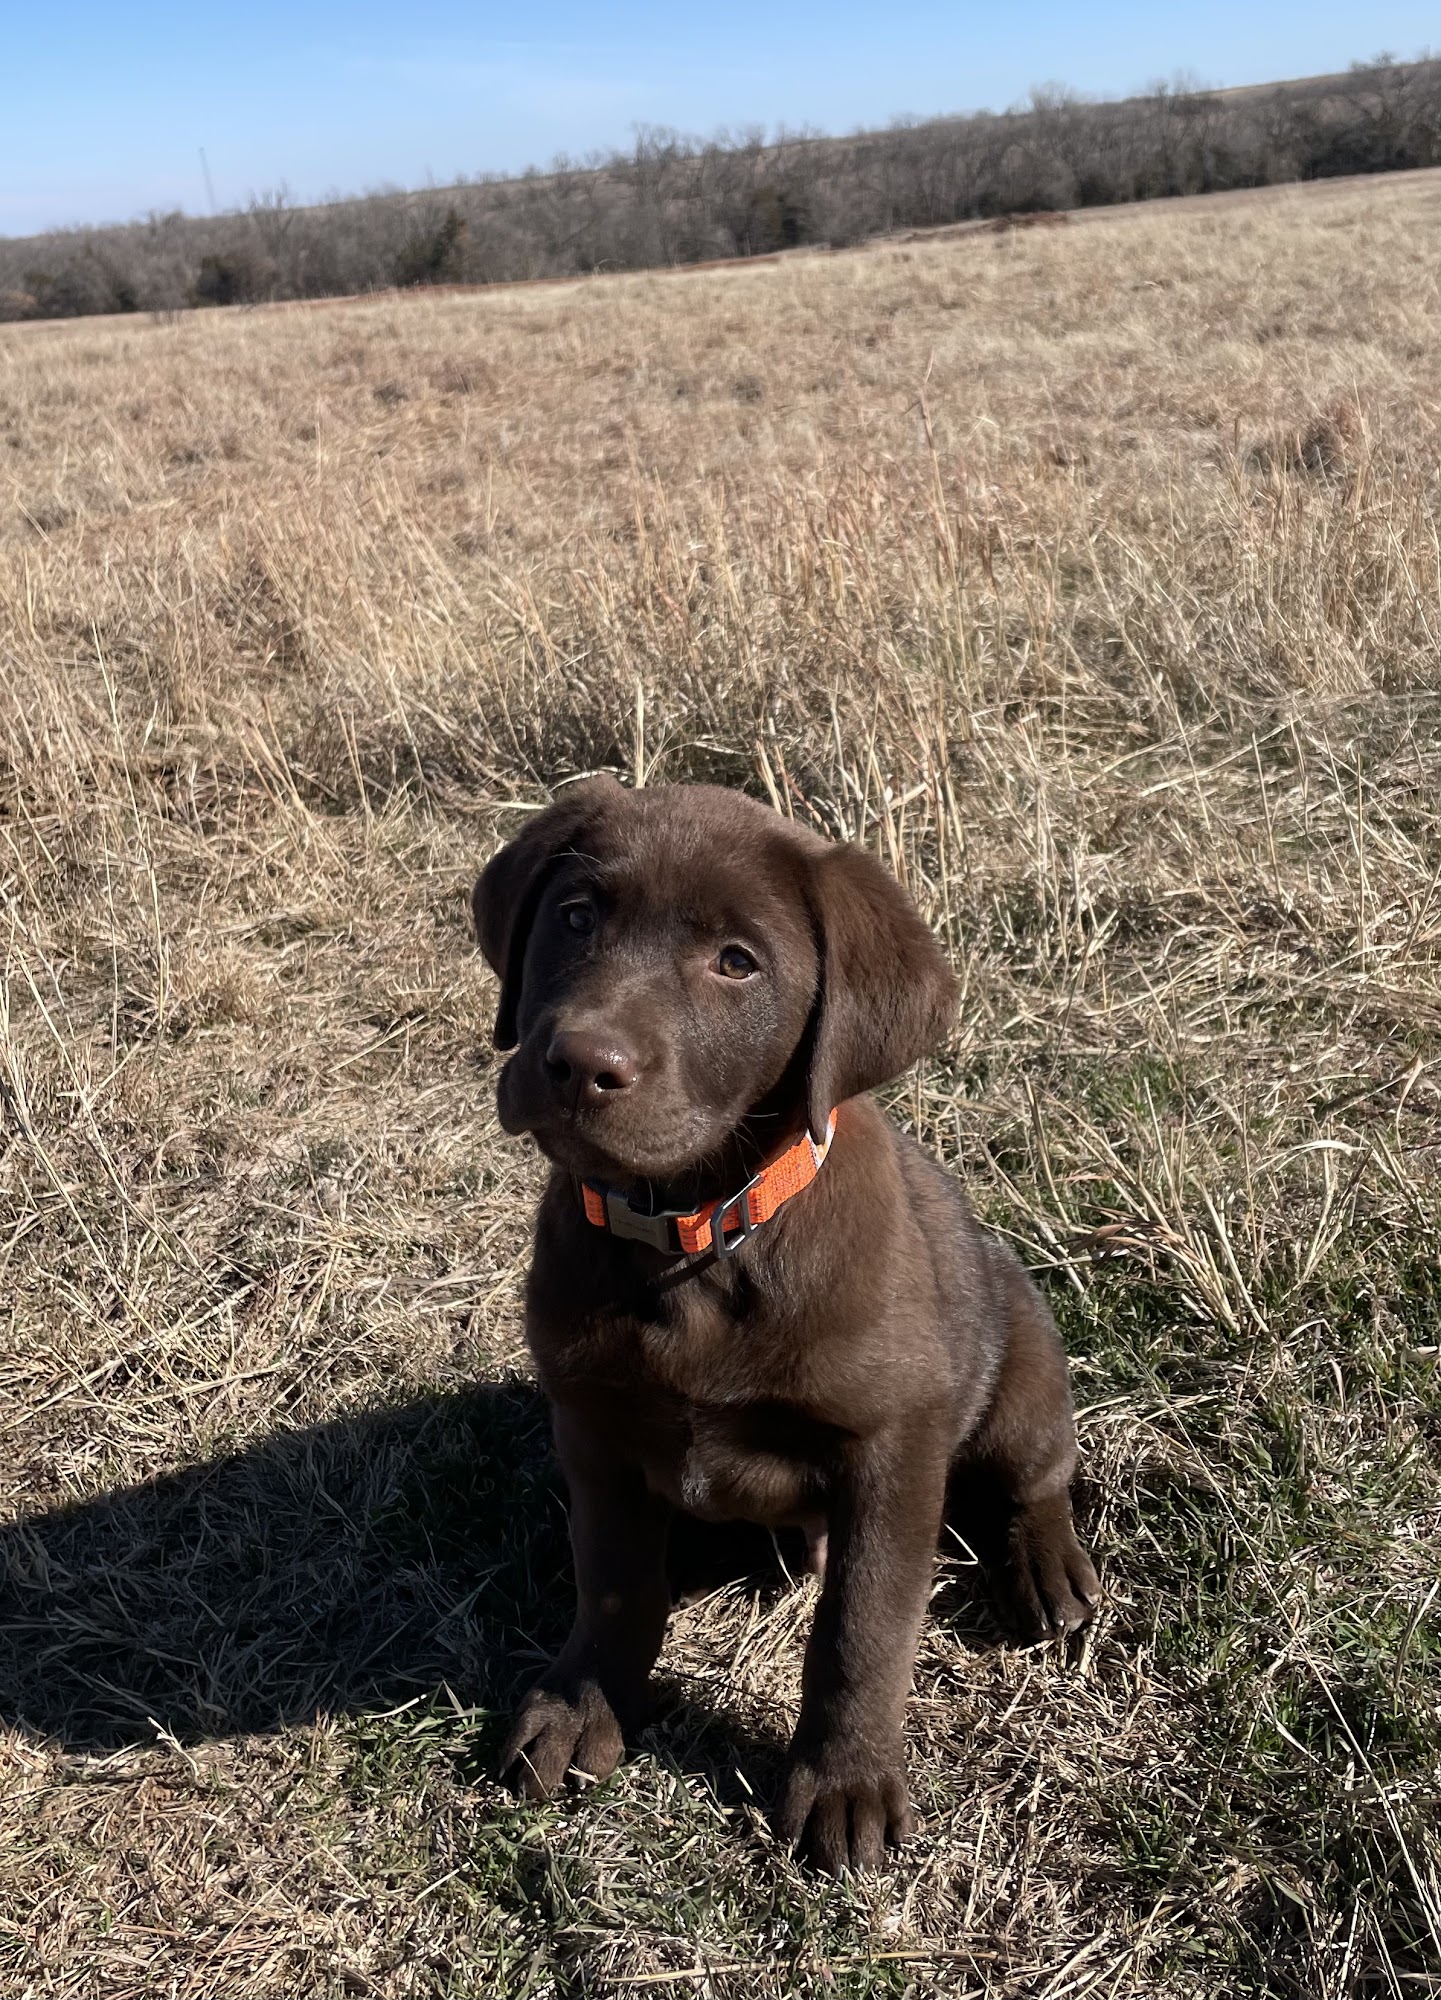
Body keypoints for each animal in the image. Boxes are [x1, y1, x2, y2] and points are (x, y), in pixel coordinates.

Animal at [472, 777, 1097, 1873]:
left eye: (736, 962)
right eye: (577, 915)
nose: (578, 1061)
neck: (693, 1235)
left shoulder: (890, 1446)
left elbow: (861, 1626)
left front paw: (843, 1782)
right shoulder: (589, 1422)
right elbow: (614, 1581)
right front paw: (583, 1705)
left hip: (1022, 1363)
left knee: (1037, 1474)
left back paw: (1047, 1566)